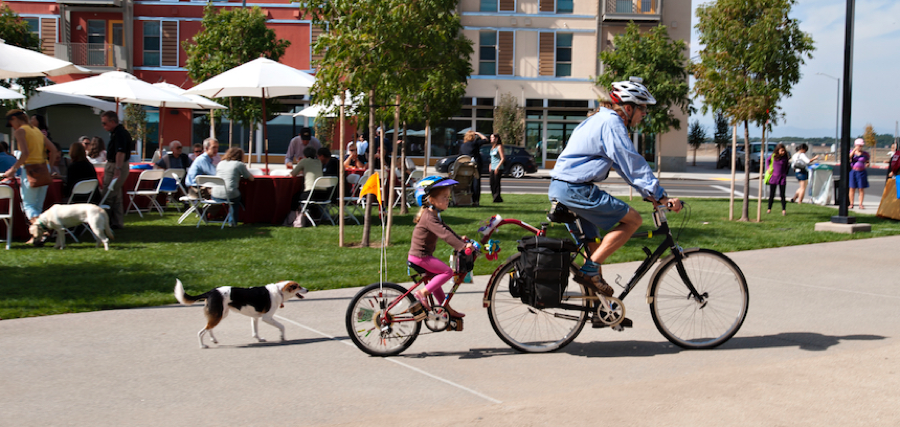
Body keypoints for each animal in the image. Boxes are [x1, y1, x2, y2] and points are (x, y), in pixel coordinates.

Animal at [174, 280, 312, 350]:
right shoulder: (266, 317)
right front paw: (282, 337)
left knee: (209, 328)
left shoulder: (255, 317)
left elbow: (255, 332)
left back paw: (214, 339)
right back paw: (203, 345)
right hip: (219, 315)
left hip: (221, 314)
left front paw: (259, 339)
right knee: (202, 331)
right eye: (298, 286)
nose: (308, 289)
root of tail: (211, 292)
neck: (279, 291)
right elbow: (282, 326)